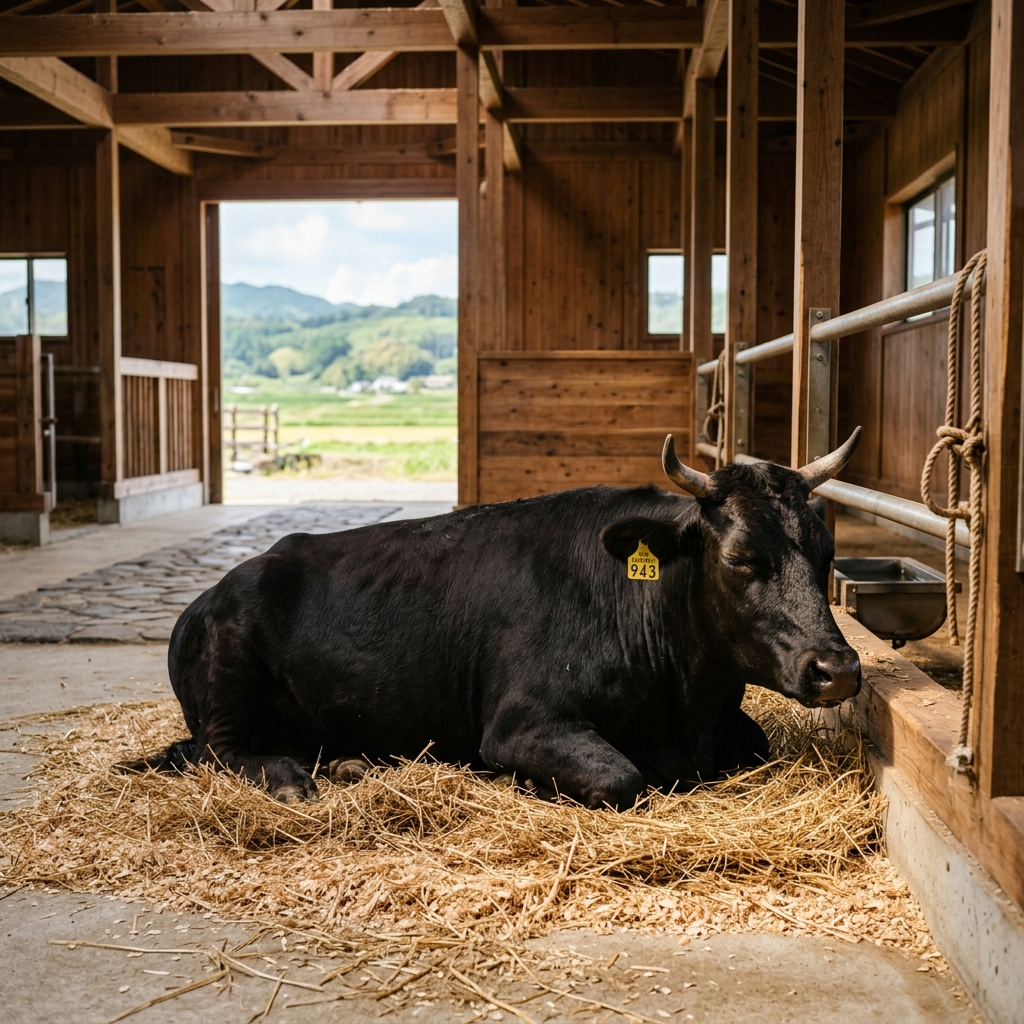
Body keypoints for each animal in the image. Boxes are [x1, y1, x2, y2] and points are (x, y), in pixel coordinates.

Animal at [148, 428, 863, 810]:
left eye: (828, 553)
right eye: (740, 559)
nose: (838, 669)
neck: (685, 707)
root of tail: (210, 595)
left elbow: (756, 742)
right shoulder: (523, 723)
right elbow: (621, 777)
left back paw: (347, 765)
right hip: (230, 673)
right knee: (219, 749)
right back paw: (291, 779)